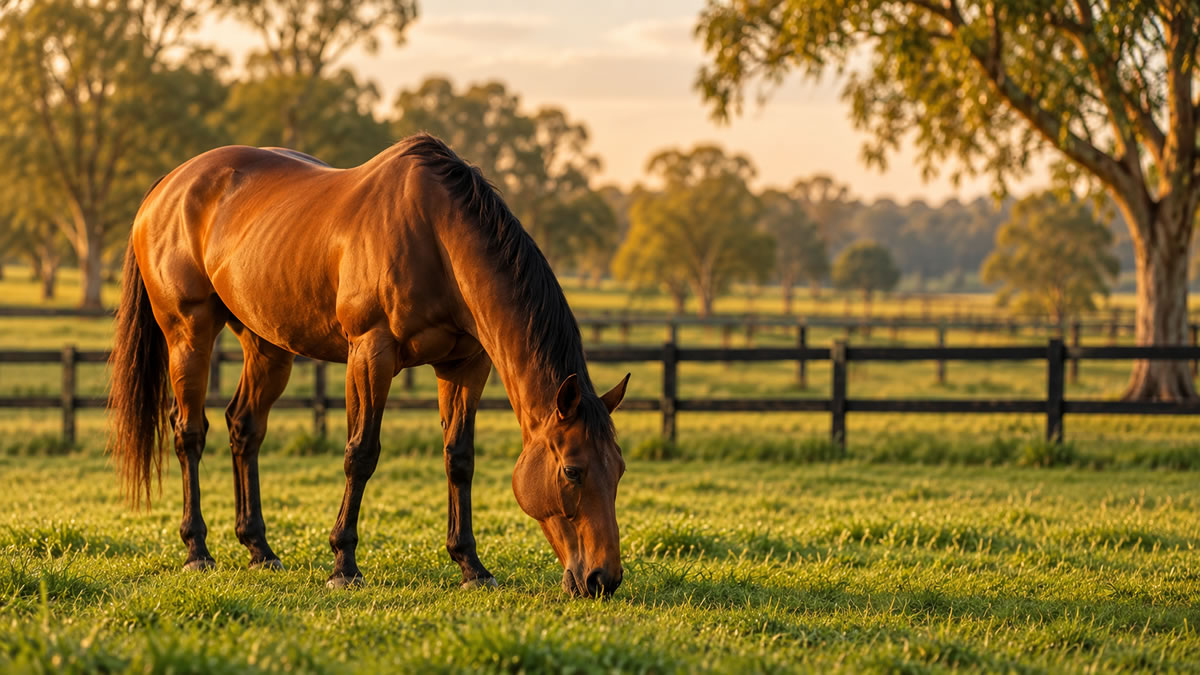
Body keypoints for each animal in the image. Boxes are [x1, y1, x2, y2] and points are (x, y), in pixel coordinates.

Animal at [106, 134, 630, 597]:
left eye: (620, 469)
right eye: (572, 471)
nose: (602, 579)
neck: (436, 235)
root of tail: (168, 185)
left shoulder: (464, 364)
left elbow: (459, 459)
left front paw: (471, 565)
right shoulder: (370, 354)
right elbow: (361, 454)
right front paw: (344, 565)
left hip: (267, 345)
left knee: (244, 428)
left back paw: (260, 549)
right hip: (188, 334)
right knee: (189, 433)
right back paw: (197, 550)